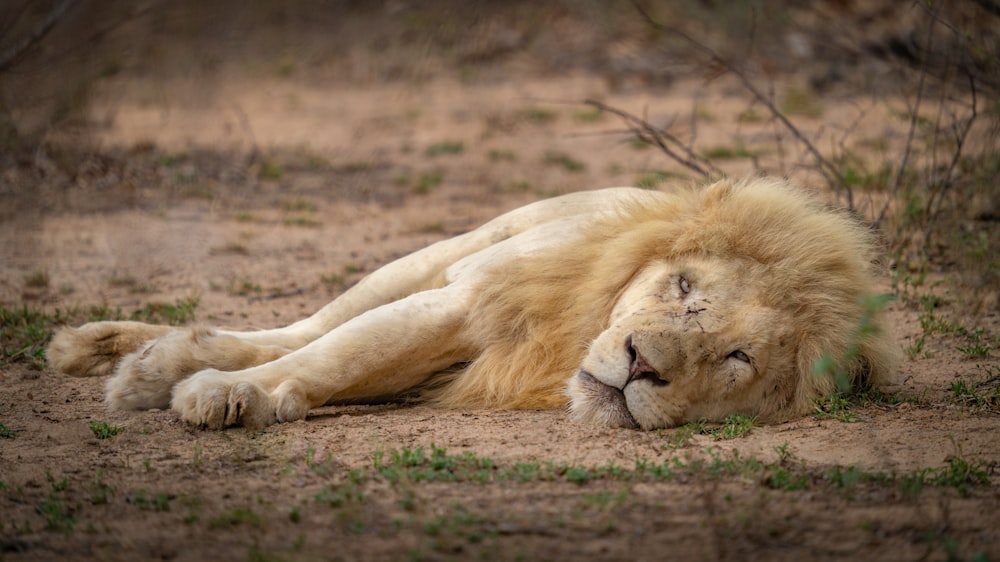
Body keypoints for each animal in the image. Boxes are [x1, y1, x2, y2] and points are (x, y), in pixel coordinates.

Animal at [47, 177, 904, 426]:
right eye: (684, 288)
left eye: (738, 357)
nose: (638, 365)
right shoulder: (470, 302)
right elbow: (333, 354)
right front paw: (225, 395)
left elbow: (331, 363)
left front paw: (231, 394)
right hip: (448, 254)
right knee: (306, 325)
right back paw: (128, 358)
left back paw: (143, 363)